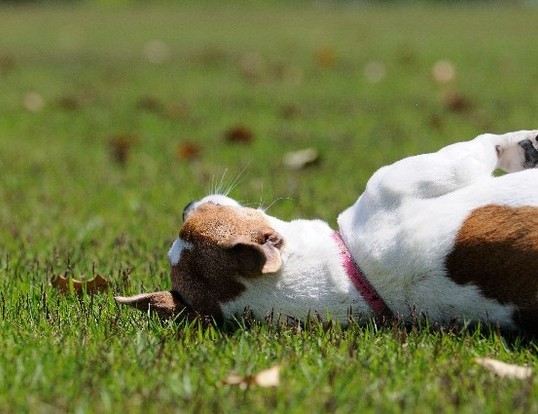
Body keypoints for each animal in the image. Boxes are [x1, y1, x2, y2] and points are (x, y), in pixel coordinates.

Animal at [115, 131, 536, 334]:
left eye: (201, 215)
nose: (187, 203)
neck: (354, 275)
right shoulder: (431, 172)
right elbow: (488, 144)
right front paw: (525, 145)